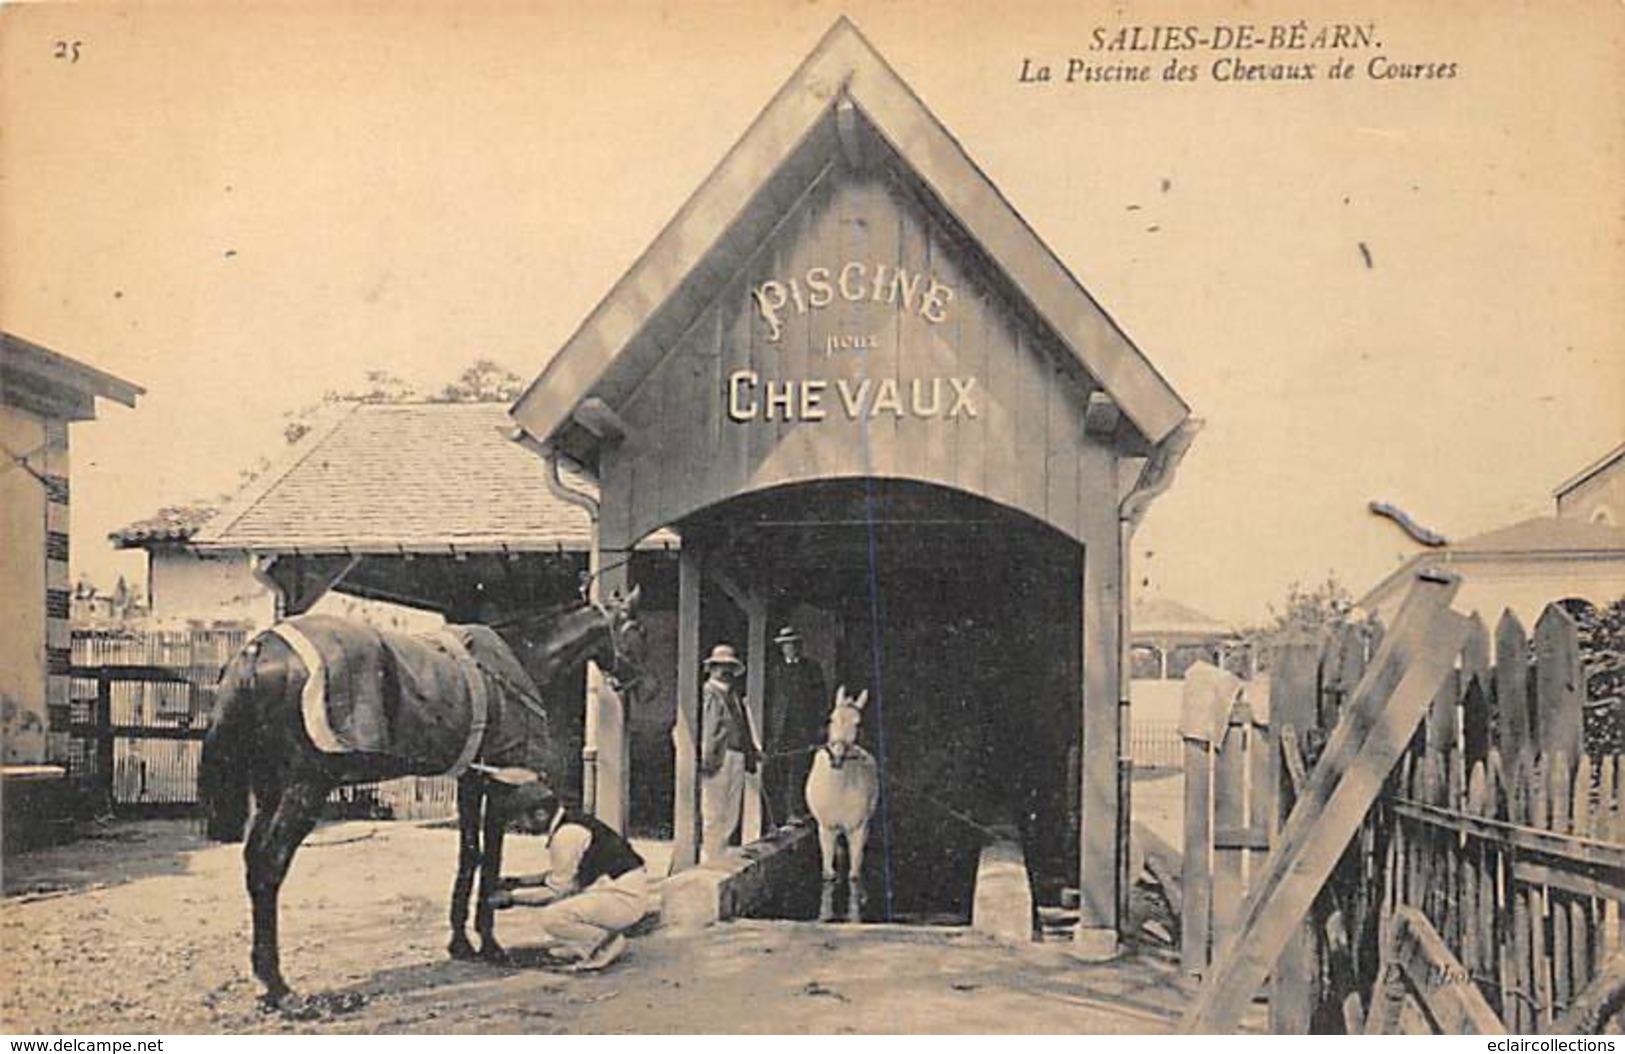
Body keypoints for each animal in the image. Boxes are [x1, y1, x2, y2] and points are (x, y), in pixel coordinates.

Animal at [196, 587, 640, 1006]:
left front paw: (461, 943)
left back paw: (263, 977)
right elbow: (491, 859)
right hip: (305, 788)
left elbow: (469, 855)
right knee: (270, 865)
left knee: (254, 861)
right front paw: (491, 944)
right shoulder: (500, 782)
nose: (638, 684)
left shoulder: (470, 781)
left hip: (270, 789)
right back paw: (277, 985)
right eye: (636, 627)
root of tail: (259, 648)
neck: (519, 657)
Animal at [799, 682, 877, 922]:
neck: (838, 790)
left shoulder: (858, 829)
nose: (837, 757)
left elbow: (854, 877)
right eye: (831, 719)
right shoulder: (826, 829)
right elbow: (828, 876)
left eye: (858, 723)